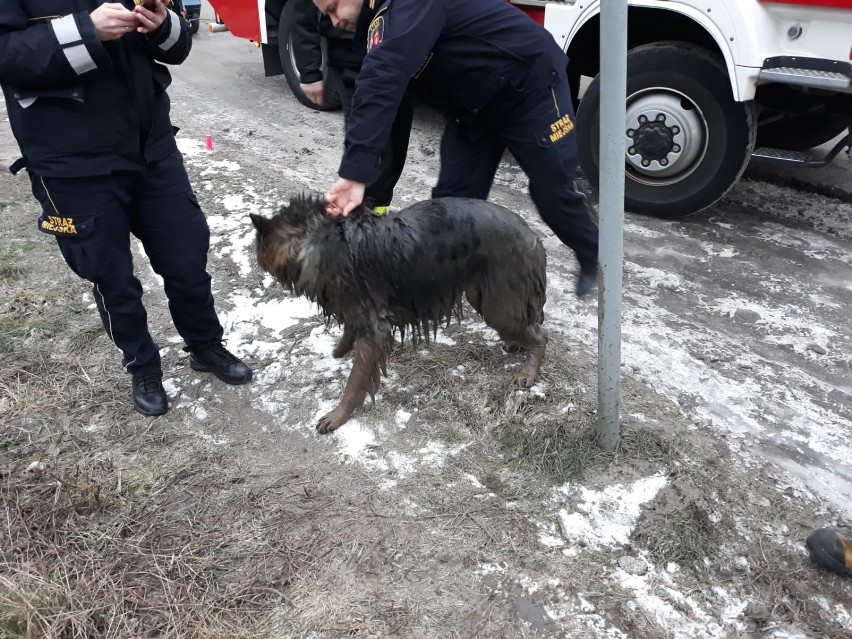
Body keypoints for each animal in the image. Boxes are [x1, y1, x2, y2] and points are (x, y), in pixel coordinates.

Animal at [250, 195, 548, 436]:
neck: (317, 239)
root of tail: (532, 233)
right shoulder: (355, 309)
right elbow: (350, 328)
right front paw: (341, 348)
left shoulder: (374, 330)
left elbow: (355, 382)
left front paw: (338, 416)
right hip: (483, 296)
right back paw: (515, 345)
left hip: (497, 307)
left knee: (540, 336)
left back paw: (528, 372)